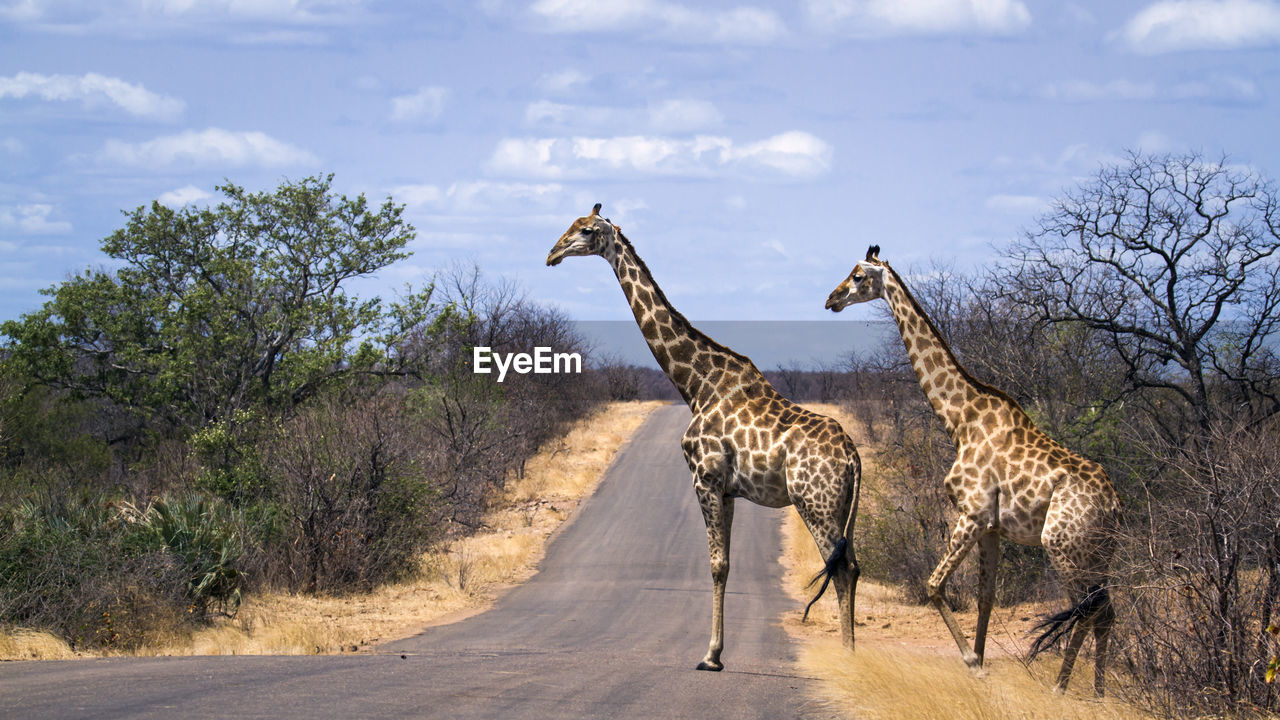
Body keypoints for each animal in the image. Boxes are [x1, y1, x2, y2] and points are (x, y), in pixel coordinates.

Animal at [545, 202, 865, 666]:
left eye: (585, 231)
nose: (551, 254)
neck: (697, 385)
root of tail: (854, 457)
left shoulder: (705, 478)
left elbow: (716, 564)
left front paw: (710, 655)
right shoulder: (728, 489)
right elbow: (726, 564)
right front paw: (715, 650)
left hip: (815, 503)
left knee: (839, 568)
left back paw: (847, 657)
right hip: (843, 509)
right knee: (853, 566)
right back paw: (851, 651)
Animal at [824, 243, 1116, 691]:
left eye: (858, 276)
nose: (831, 299)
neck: (960, 419)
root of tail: (1117, 506)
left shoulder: (973, 514)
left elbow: (933, 584)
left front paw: (972, 661)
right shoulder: (992, 526)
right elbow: (985, 597)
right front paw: (980, 661)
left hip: (1064, 547)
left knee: (1086, 610)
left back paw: (1061, 687)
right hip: (1098, 555)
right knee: (1105, 611)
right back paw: (1099, 691)